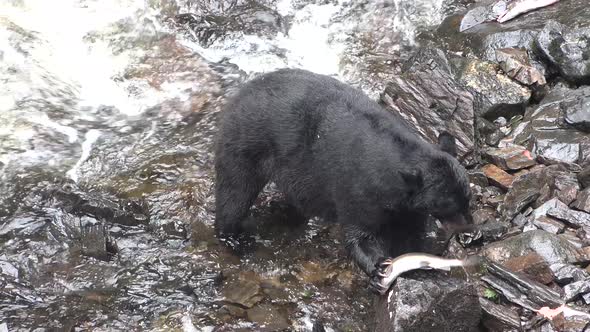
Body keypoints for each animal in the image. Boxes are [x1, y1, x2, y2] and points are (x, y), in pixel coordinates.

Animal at [215, 67, 474, 294]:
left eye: (468, 198)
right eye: (447, 205)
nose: (470, 229)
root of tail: (243, 90)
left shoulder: (407, 207)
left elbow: (409, 231)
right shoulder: (359, 190)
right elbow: (359, 234)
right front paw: (378, 268)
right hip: (245, 142)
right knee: (234, 193)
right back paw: (235, 239)